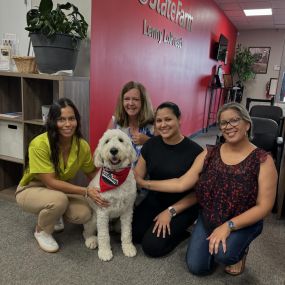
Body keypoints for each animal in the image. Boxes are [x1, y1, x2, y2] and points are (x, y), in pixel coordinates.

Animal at [82, 128, 137, 260]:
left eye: (121, 140)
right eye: (107, 141)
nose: (113, 150)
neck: (115, 176)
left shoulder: (127, 211)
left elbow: (127, 233)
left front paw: (128, 248)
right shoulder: (103, 212)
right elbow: (103, 235)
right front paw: (105, 252)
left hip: (116, 223)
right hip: (94, 218)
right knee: (86, 231)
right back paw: (91, 240)